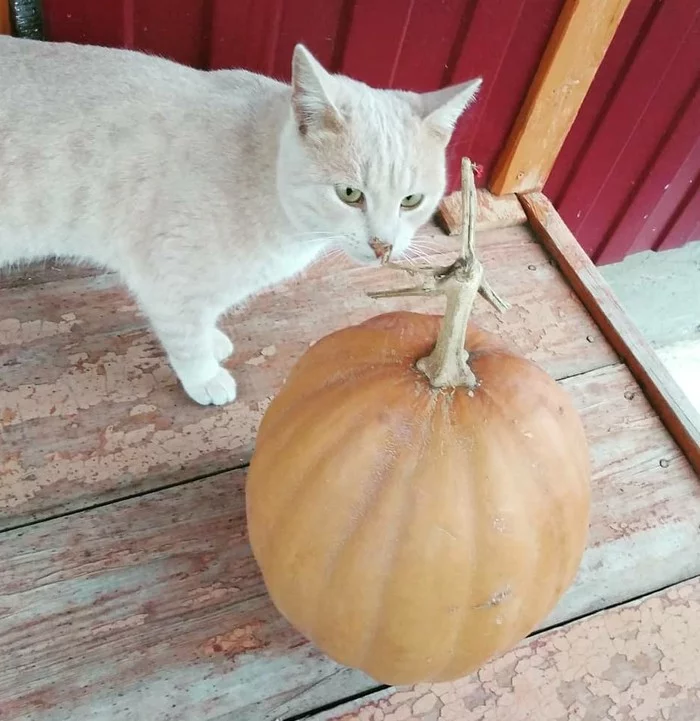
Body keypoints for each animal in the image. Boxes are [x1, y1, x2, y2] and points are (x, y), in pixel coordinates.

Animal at [0, 35, 478, 404]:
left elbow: (204, 316)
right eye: (350, 194)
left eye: (411, 200)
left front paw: (213, 340)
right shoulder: (167, 280)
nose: (383, 244)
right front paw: (205, 376)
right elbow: (185, 335)